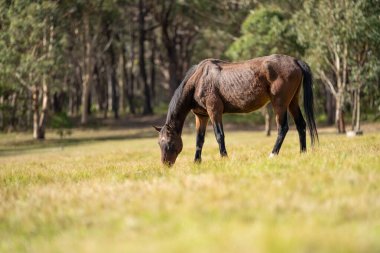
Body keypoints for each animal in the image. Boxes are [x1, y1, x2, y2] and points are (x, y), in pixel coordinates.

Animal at [154, 53, 318, 166]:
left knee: (283, 128)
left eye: (168, 142)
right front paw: (197, 162)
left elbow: (219, 135)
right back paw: (302, 153)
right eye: (159, 143)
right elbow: (199, 139)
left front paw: (224, 158)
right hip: (292, 102)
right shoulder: (201, 116)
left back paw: (273, 154)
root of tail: (295, 61)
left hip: (280, 104)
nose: (166, 165)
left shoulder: (214, 111)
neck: (198, 79)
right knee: (301, 125)